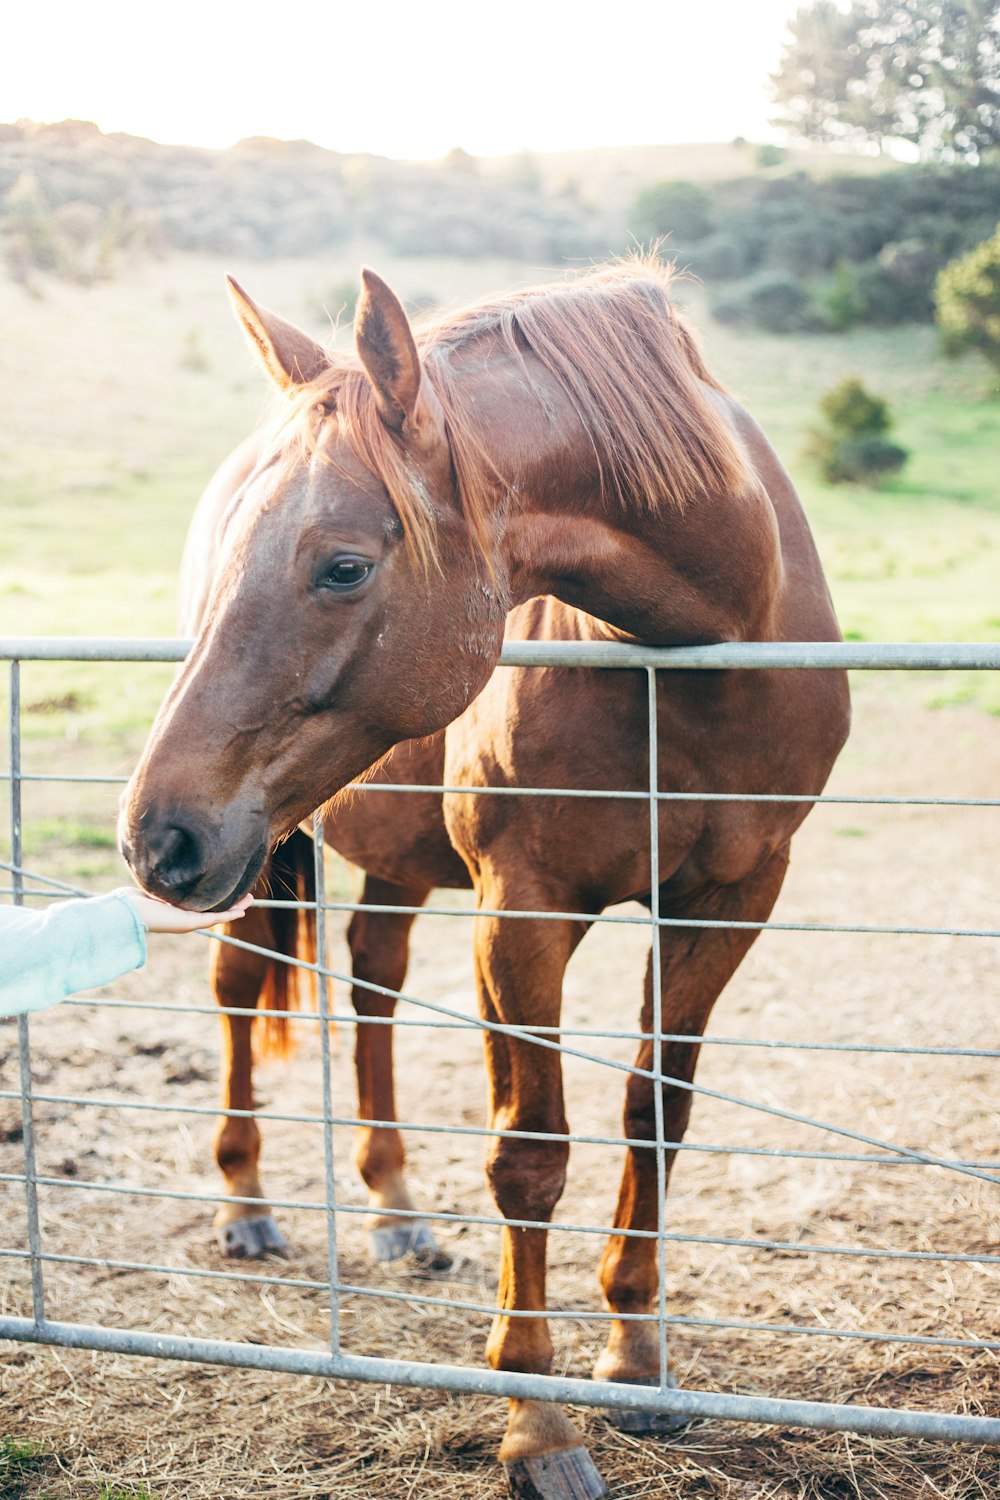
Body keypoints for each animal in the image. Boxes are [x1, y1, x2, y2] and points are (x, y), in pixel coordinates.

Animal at [119, 261, 851, 1500]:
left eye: (344, 565)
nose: (150, 836)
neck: (691, 655)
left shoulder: (729, 901)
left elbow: (654, 1113)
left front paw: (636, 1360)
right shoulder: (525, 908)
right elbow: (529, 1155)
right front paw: (536, 1427)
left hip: (382, 856)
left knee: (370, 982)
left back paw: (394, 1209)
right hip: (270, 847)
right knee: (237, 990)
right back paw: (248, 1205)